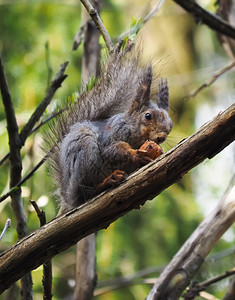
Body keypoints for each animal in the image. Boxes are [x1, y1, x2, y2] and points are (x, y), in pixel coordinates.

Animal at [44, 42, 173, 212]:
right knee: (87, 192)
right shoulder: (109, 137)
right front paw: (134, 153)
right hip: (85, 153)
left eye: (170, 125)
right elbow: (112, 150)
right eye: (148, 116)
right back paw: (108, 181)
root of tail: (69, 197)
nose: (162, 137)